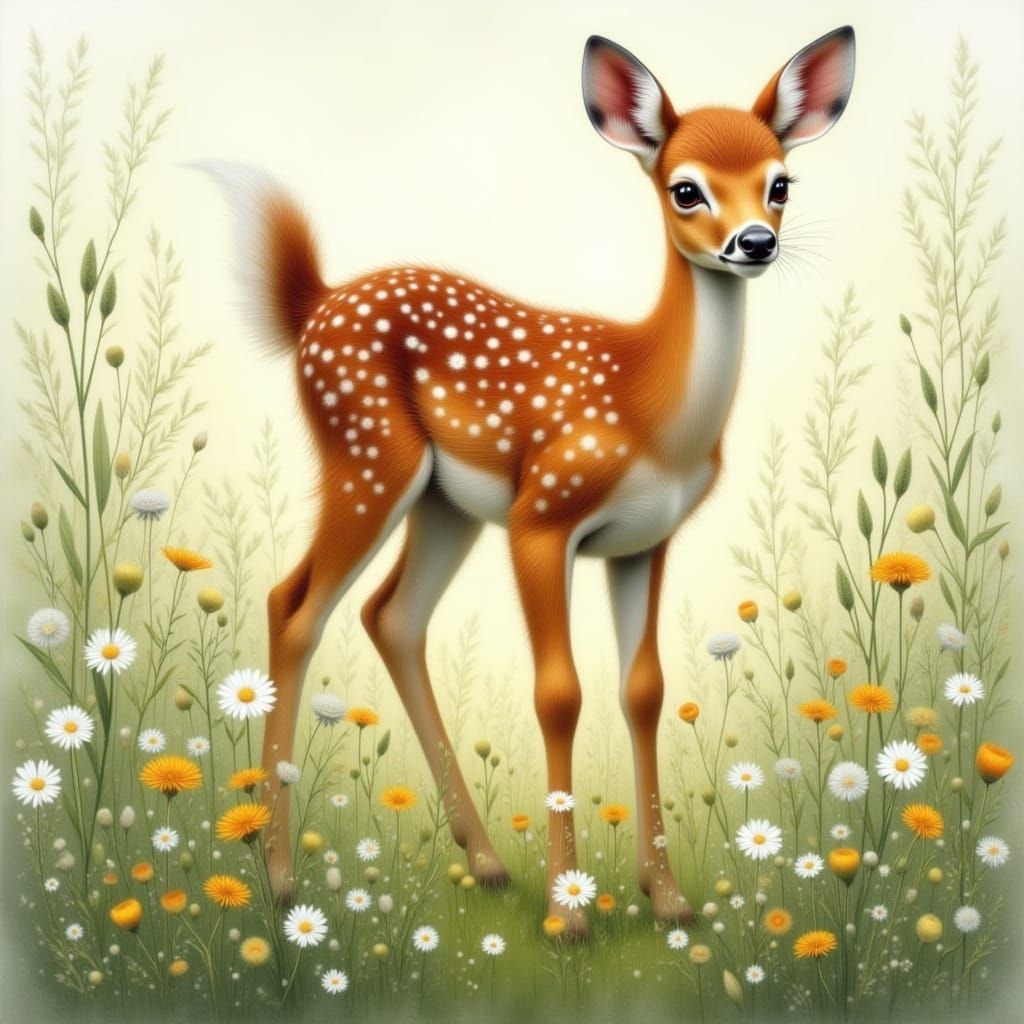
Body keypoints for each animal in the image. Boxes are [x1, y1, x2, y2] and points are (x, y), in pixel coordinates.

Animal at [202, 25, 855, 937]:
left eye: (781, 182)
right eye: (686, 188)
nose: (754, 242)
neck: (650, 411)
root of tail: (314, 304)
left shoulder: (645, 541)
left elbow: (644, 691)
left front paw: (668, 899)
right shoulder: (542, 515)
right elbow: (559, 694)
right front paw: (570, 914)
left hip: (444, 506)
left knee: (391, 616)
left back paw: (483, 862)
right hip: (366, 455)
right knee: (293, 606)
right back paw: (280, 878)